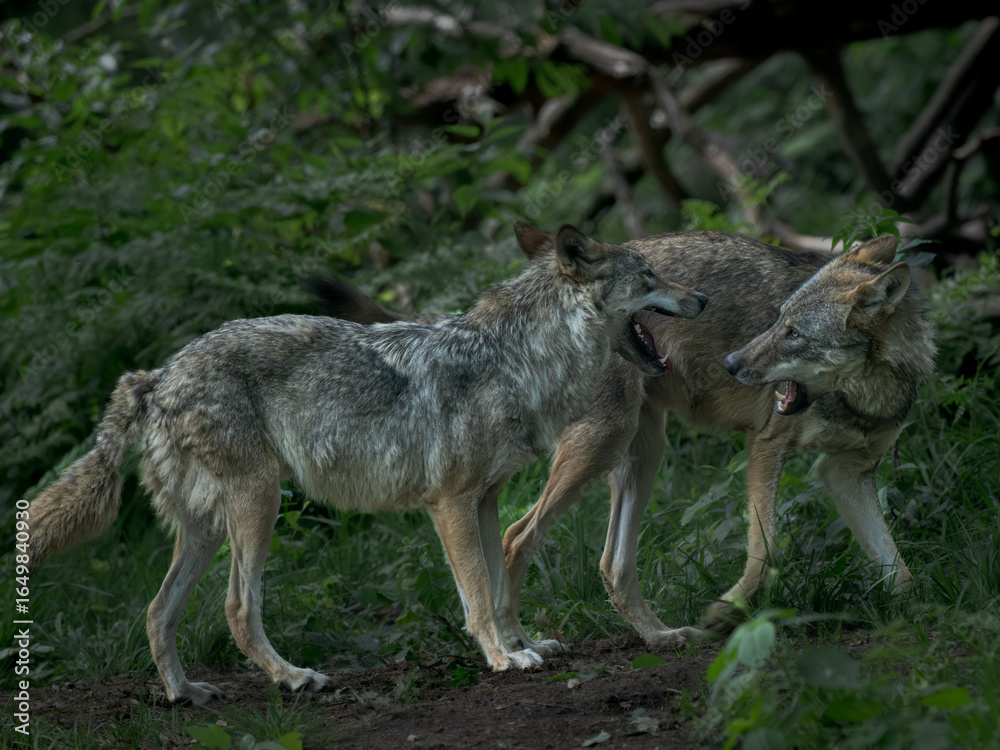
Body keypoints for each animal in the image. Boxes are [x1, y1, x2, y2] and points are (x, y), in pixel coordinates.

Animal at [26, 225, 707, 704]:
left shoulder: (486, 500)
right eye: (650, 273)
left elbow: (498, 579)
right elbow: (478, 594)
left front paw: (523, 645)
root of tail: (156, 376)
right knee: (237, 610)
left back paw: (183, 694)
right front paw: (501, 658)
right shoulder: (450, 503)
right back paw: (294, 678)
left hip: (208, 528)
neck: (516, 359)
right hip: (258, 506)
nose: (701, 296)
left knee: (156, 611)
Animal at [319, 225, 935, 646]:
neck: (867, 394)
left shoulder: (846, 473)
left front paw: (914, 621)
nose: (734, 363)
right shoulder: (767, 449)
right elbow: (766, 552)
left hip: (641, 454)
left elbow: (900, 572)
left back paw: (658, 638)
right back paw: (517, 643)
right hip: (602, 446)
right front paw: (725, 614)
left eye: (794, 333)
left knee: (610, 565)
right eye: (777, 321)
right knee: (518, 535)